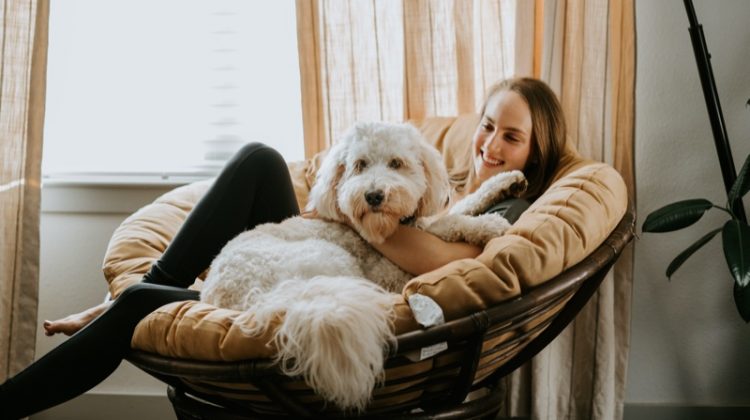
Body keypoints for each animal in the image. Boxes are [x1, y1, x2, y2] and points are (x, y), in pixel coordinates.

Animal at [200, 120, 528, 410]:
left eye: (396, 163)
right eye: (359, 165)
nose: (373, 195)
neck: (392, 228)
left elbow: (459, 206)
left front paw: (506, 182)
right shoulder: (392, 270)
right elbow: (448, 222)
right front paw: (488, 224)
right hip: (332, 261)